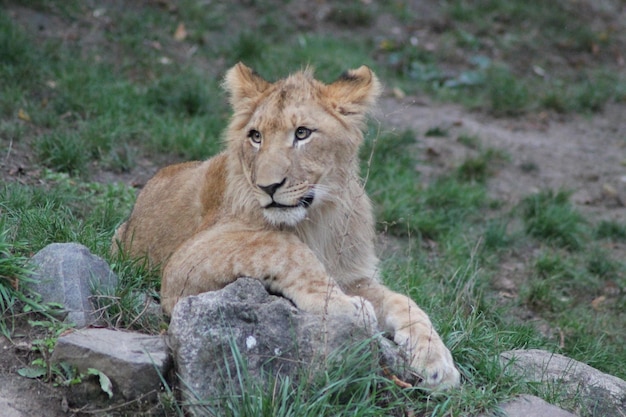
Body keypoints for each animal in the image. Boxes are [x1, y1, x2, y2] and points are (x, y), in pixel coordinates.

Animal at [112, 63, 458, 388]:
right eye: (256, 136)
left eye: (302, 133)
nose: (268, 187)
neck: (316, 219)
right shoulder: (184, 262)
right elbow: (283, 247)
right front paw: (346, 306)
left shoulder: (355, 275)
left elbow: (404, 302)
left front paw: (437, 361)